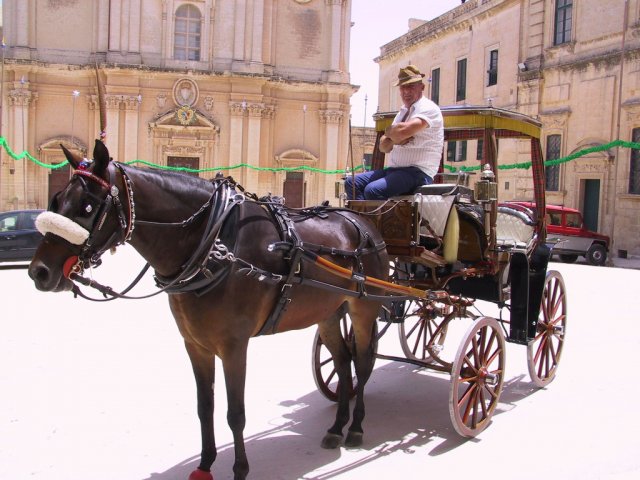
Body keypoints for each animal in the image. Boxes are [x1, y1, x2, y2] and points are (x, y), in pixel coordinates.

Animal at [27, 139, 390, 480]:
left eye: (88, 206)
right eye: (56, 200)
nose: (38, 272)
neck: (214, 244)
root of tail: (362, 222)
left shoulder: (233, 346)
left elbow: (235, 413)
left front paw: (240, 469)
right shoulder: (195, 344)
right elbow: (205, 406)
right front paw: (204, 464)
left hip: (363, 308)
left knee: (362, 362)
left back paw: (355, 428)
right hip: (329, 310)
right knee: (343, 362)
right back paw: (336, 427)